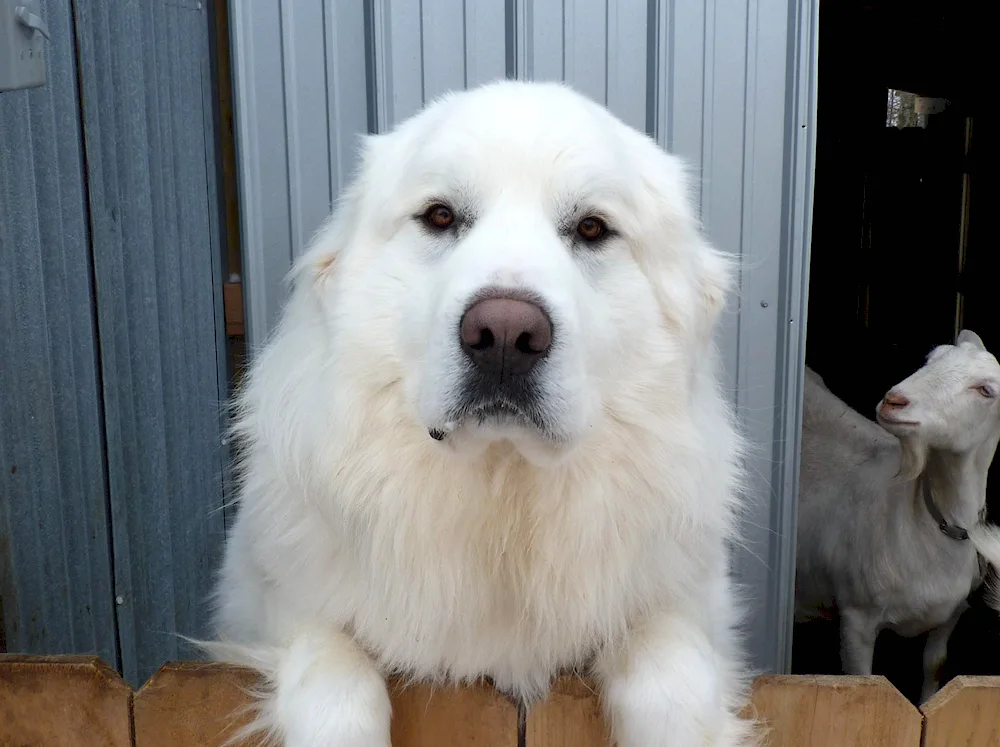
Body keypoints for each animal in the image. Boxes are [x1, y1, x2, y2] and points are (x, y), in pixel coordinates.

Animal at [213, 80, 756, 747]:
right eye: (440, 216)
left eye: (592, 228)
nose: (503, 335)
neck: (502, 498)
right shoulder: (272, 603)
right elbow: (333, 673)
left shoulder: (684, 598)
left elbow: (672, 667)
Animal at [796, 328, 1000, 700]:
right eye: (931, 358)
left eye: (985, 390)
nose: (894, 400)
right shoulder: (856, 617)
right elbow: (863, 680)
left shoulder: (952, 613)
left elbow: (935, 665)